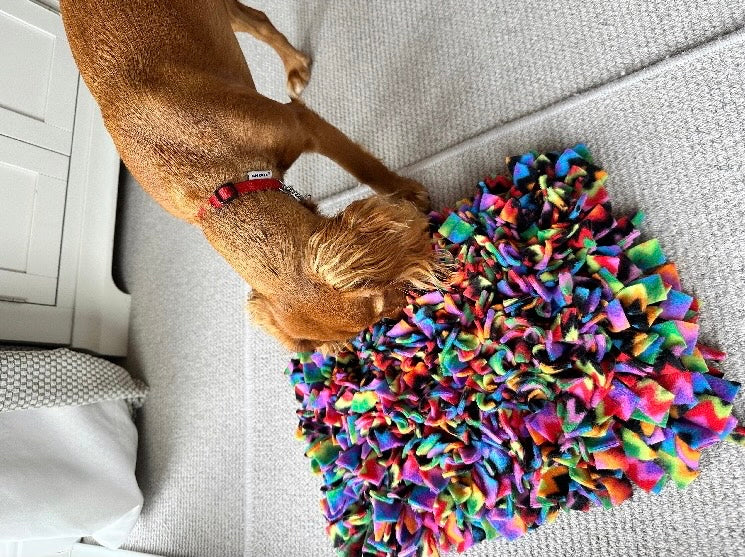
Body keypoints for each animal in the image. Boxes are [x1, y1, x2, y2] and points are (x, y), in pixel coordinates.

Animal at [62, 0, 436, 350]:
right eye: (377, 308)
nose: (409, 306)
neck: (217, 184)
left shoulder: (303, 124)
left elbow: (365, 167)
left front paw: (405, 192)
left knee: (260, 20)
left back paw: (296, 64)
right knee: (255, 20)